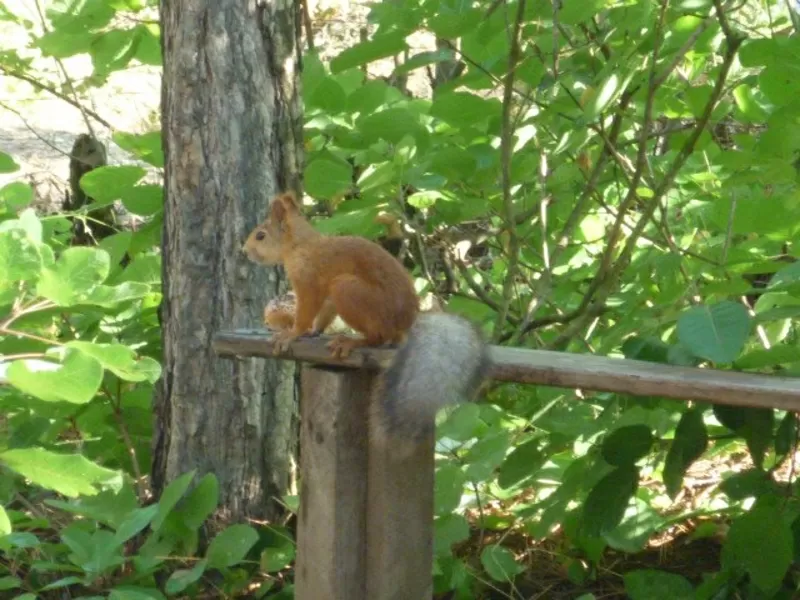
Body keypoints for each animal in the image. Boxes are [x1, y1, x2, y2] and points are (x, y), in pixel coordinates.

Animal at [241, 190, 488, 452]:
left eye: (260, 235)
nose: (244, 251)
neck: (300, 245)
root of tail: (405, 324)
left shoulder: (309, 280)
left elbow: (306, 310)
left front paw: (292, 333)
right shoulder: (326, 298)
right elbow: (324, 313)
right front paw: (313, 331)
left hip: (347, 290)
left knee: (378, 337)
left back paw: (351, 342)